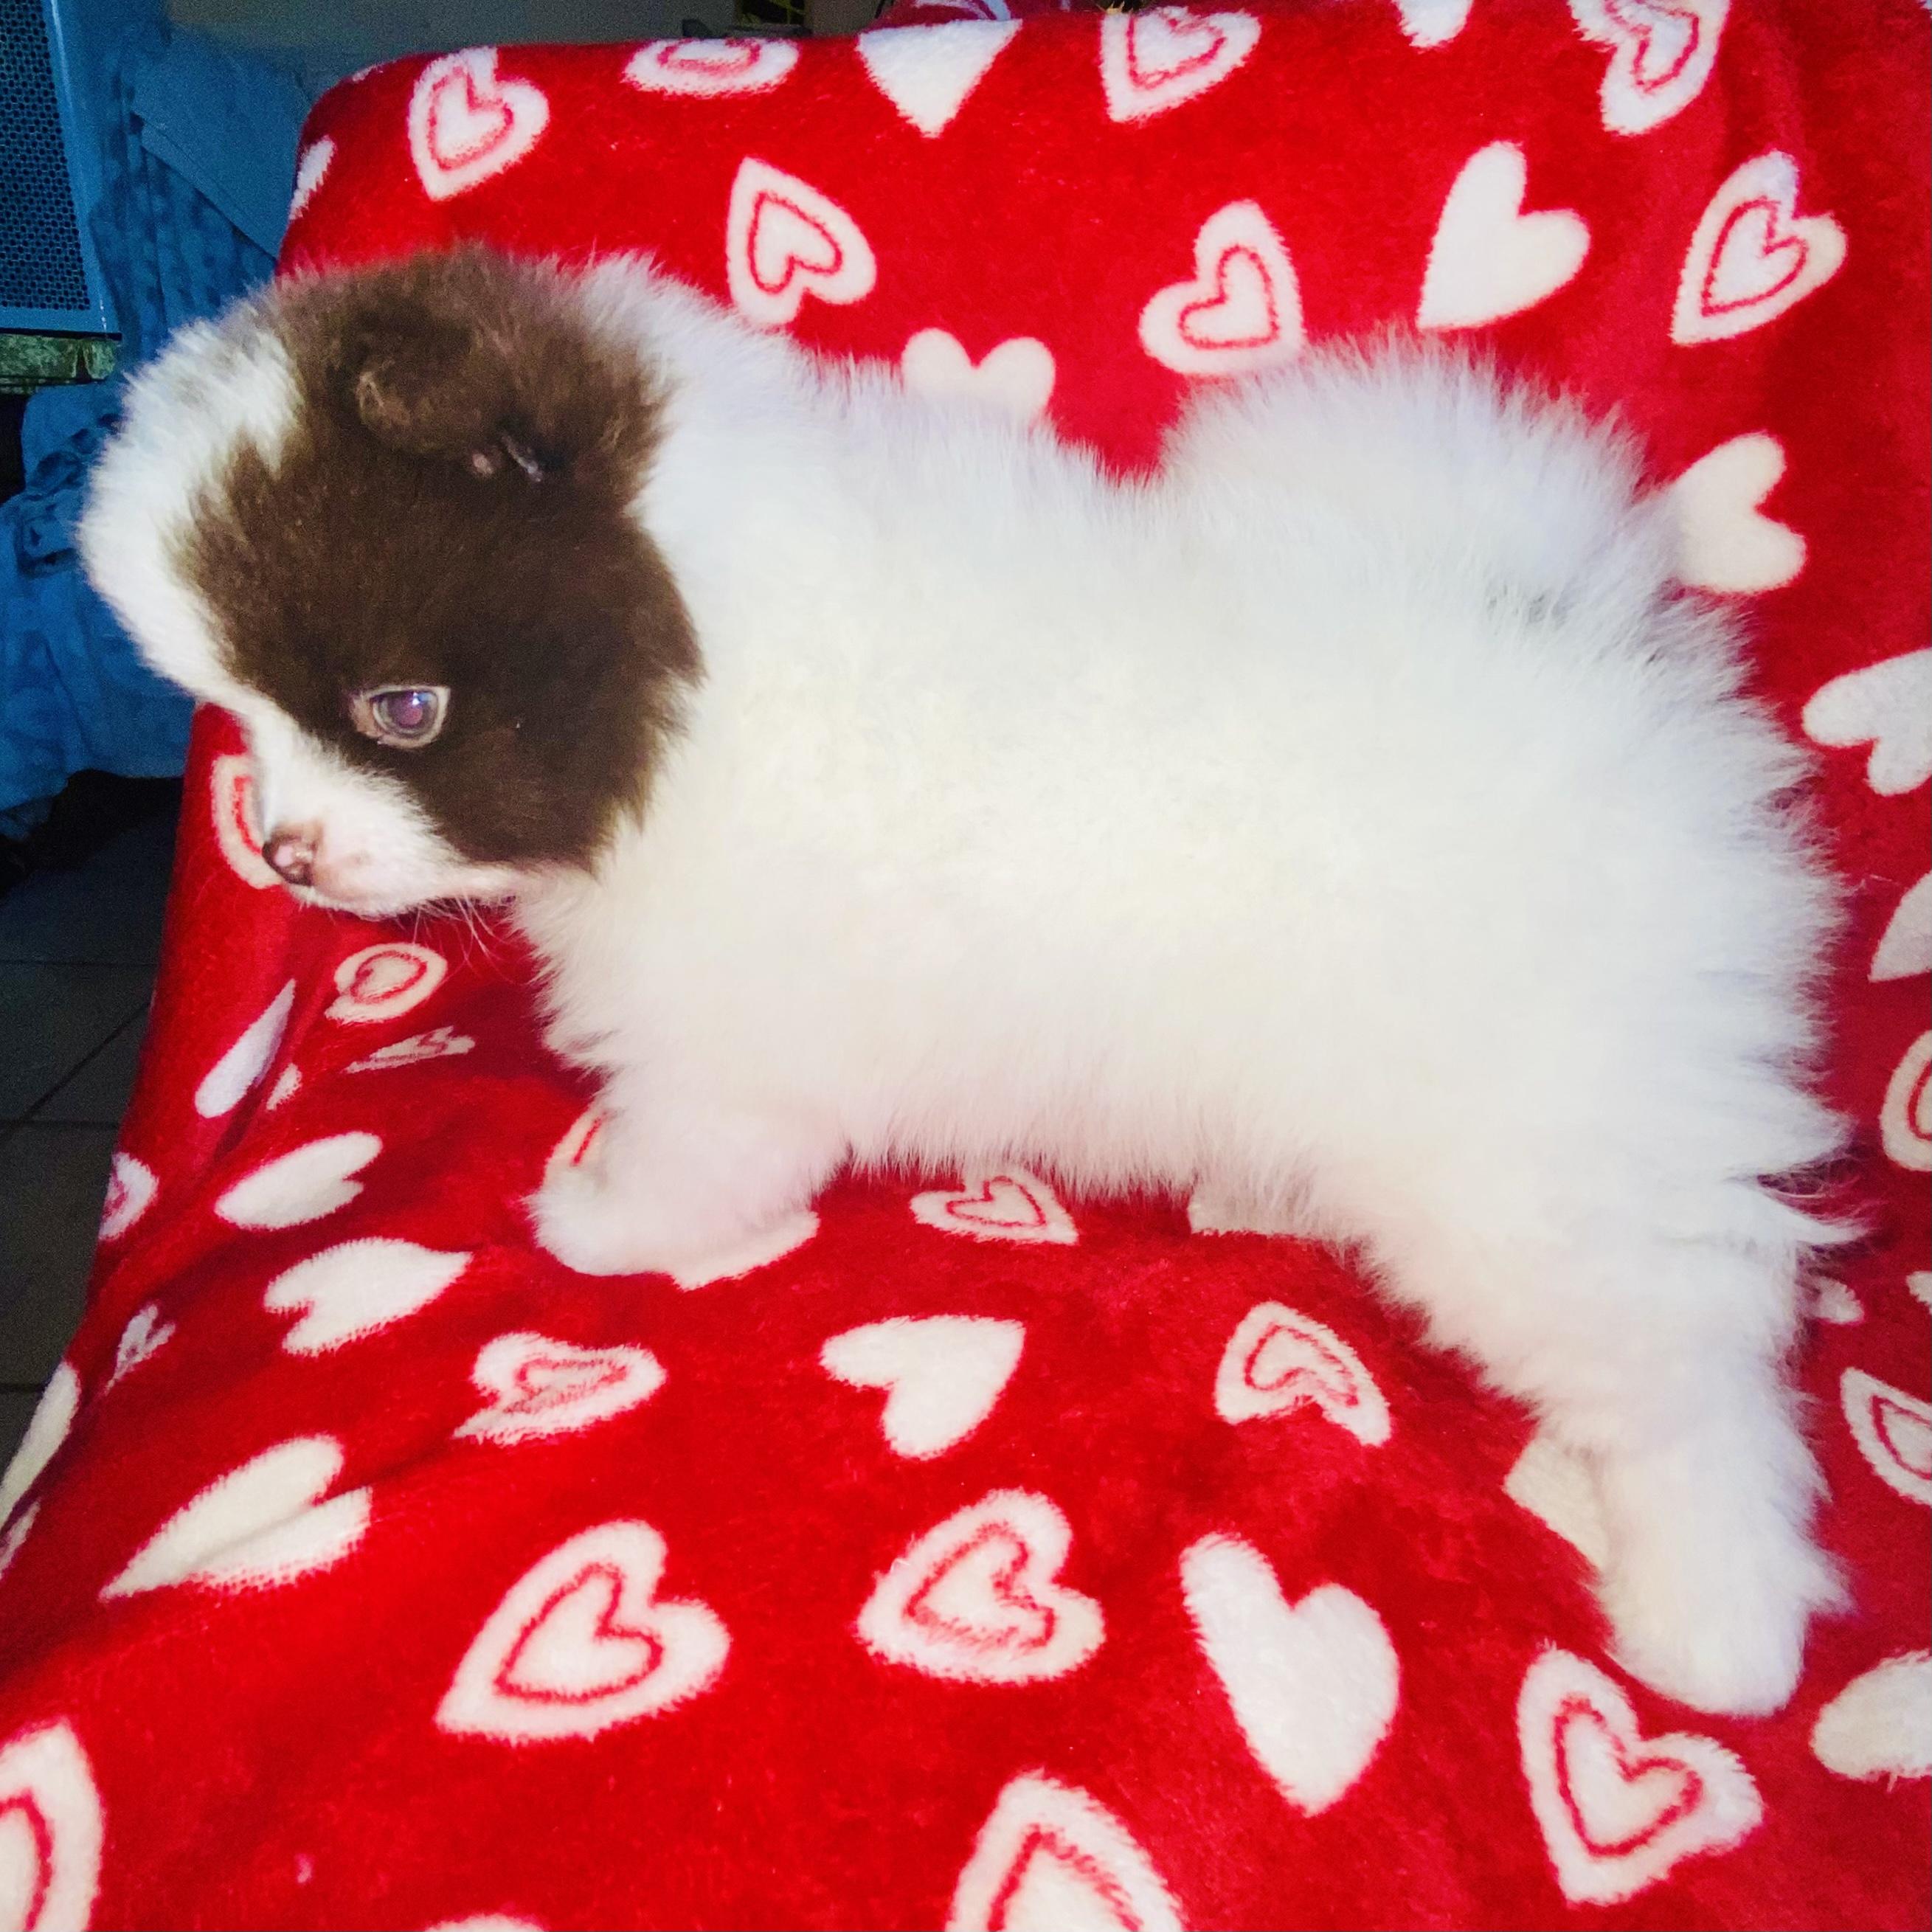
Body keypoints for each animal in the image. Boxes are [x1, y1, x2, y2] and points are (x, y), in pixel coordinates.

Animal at [80, 245, 1850, 1718]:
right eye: (250, 714)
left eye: (401, 709)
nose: (286, 853)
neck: (708, 667)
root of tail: (1580, 637)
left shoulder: (727, 1039)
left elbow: (690, 1157)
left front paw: (596, 1221)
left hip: (1532, 1158)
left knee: (1691, 1361)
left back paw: (1715, 1625)